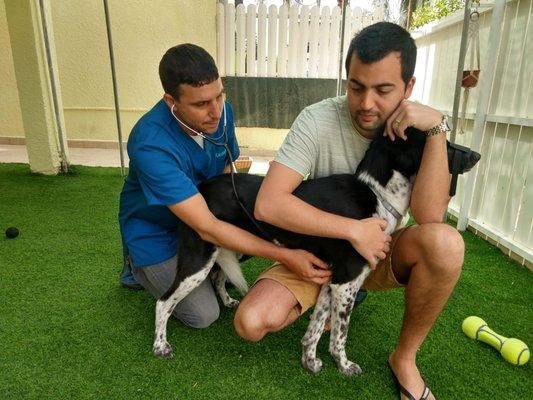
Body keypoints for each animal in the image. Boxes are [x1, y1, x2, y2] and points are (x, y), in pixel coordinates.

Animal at [150, 130, 478, 376]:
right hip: (198, 258)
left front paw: (309, 361)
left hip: (231, 247)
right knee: (164, 301)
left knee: (218, 276)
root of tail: (200, 187)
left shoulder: (330, 282)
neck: (377, 195)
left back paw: (228, 300)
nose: (477, 155)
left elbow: (316, 328)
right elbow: (339, 334)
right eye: (444, 144)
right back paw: (160, 346)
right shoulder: (346, 281)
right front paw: (344, 365)